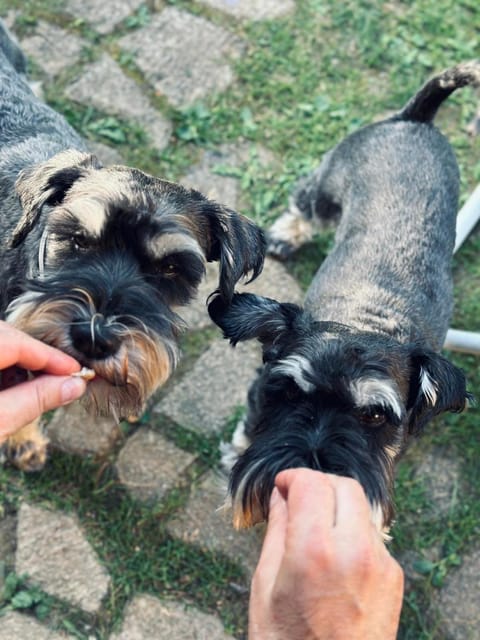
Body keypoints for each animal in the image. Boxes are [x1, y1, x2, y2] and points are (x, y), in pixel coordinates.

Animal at [210, 63, 476, 536]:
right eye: (289, 393)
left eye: (375, 416)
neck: (366, 322)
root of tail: (416, 120)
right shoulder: (258, 392)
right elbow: (248, 427)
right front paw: (234, 455)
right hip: (327, 187)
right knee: (304, 206)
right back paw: (284, 236)